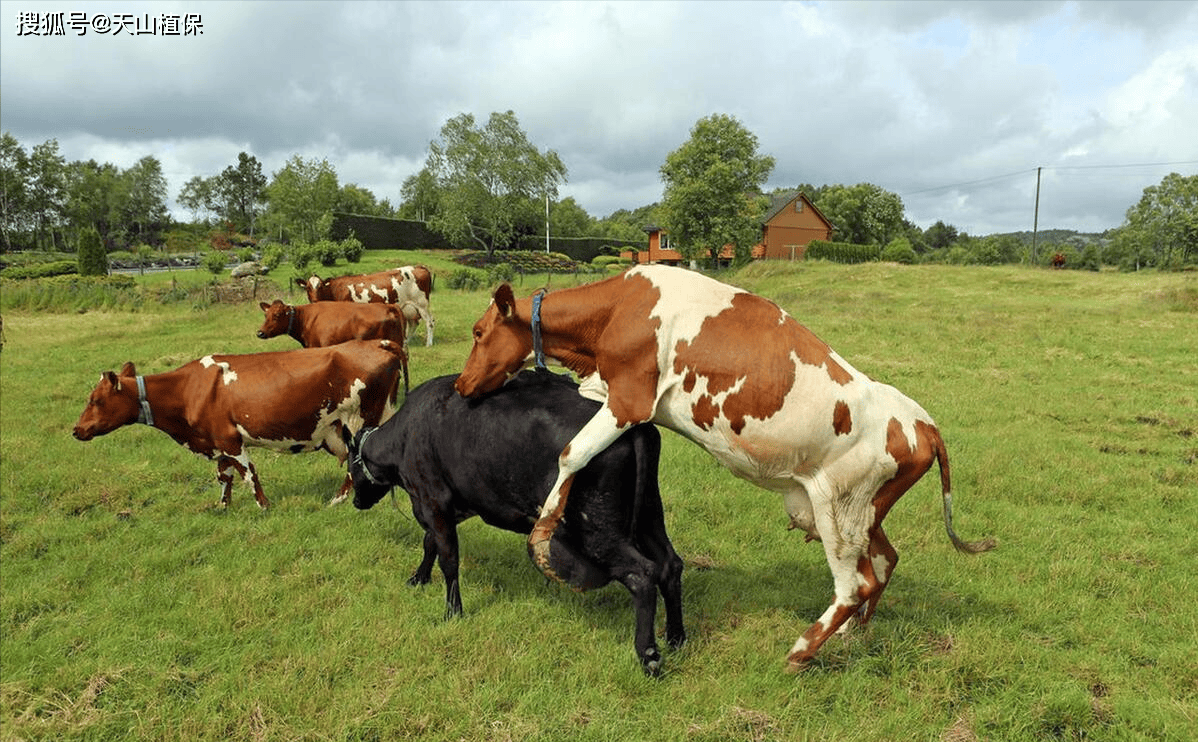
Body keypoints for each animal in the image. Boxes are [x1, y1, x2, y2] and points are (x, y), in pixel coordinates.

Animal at [72, 340, 407, 508]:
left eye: (95, 399)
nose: (76, 430)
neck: (187, 389)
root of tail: (379, 343)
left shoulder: (230, 439)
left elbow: (250, 475)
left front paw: (264, 507)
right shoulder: (216, 442)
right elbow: (225, 477)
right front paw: (223, 507)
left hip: (358, 419)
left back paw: (337, 500)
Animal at [298, 263, 438, 347]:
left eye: (320, 286)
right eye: (308, 288)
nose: (315, 301)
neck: (334, 290)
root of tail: (419, 267)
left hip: (422, 304)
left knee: (430, 322)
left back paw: (429, 343)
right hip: (409, 308)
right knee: (413, 323)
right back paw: (407, 341)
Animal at [342, 371, 690, 680]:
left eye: (349, 466)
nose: (355, 502)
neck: (405, 435)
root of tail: (632, 427)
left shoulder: (432, 500)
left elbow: (448, 558)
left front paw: (452, 611)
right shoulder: (449, 507)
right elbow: (431, 544)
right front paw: (418, 578)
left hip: (597, 528)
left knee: (643, 574)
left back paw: (648, 654)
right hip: (648, 514)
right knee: (670, 565)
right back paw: (676, 637)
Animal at [452, 263, 996, 671]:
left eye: (478, 332)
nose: (460, 384)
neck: (617, 309)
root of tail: (923, 421)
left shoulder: (630, 399)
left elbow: (572, 454)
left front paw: (543, 542)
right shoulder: (605, 391)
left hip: (837, 508)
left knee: (854, 582)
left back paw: (801, 651)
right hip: (858, 509)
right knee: (884, 561)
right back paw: (852, 639)